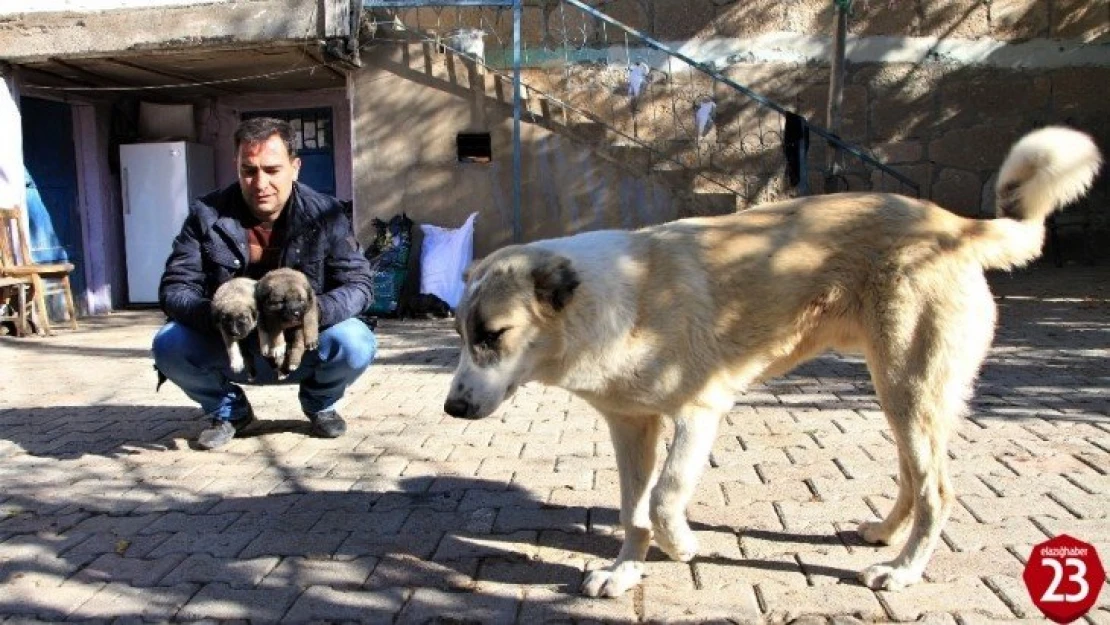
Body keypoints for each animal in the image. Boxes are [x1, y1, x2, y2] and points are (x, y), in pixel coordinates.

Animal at [441, 125, 1101, 595]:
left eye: (494, 334)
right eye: (459, 333)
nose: (451, 409)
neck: (613, 302)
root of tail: (953, 223)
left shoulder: (700, 411)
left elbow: (664, 496)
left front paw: (681, 547)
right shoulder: (631, 426)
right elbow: (633, 510)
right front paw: (626, 572)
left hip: (910, 390)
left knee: (937, 487)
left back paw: (903, 570)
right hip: (899, 393)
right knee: (914, 477)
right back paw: (884, 534)